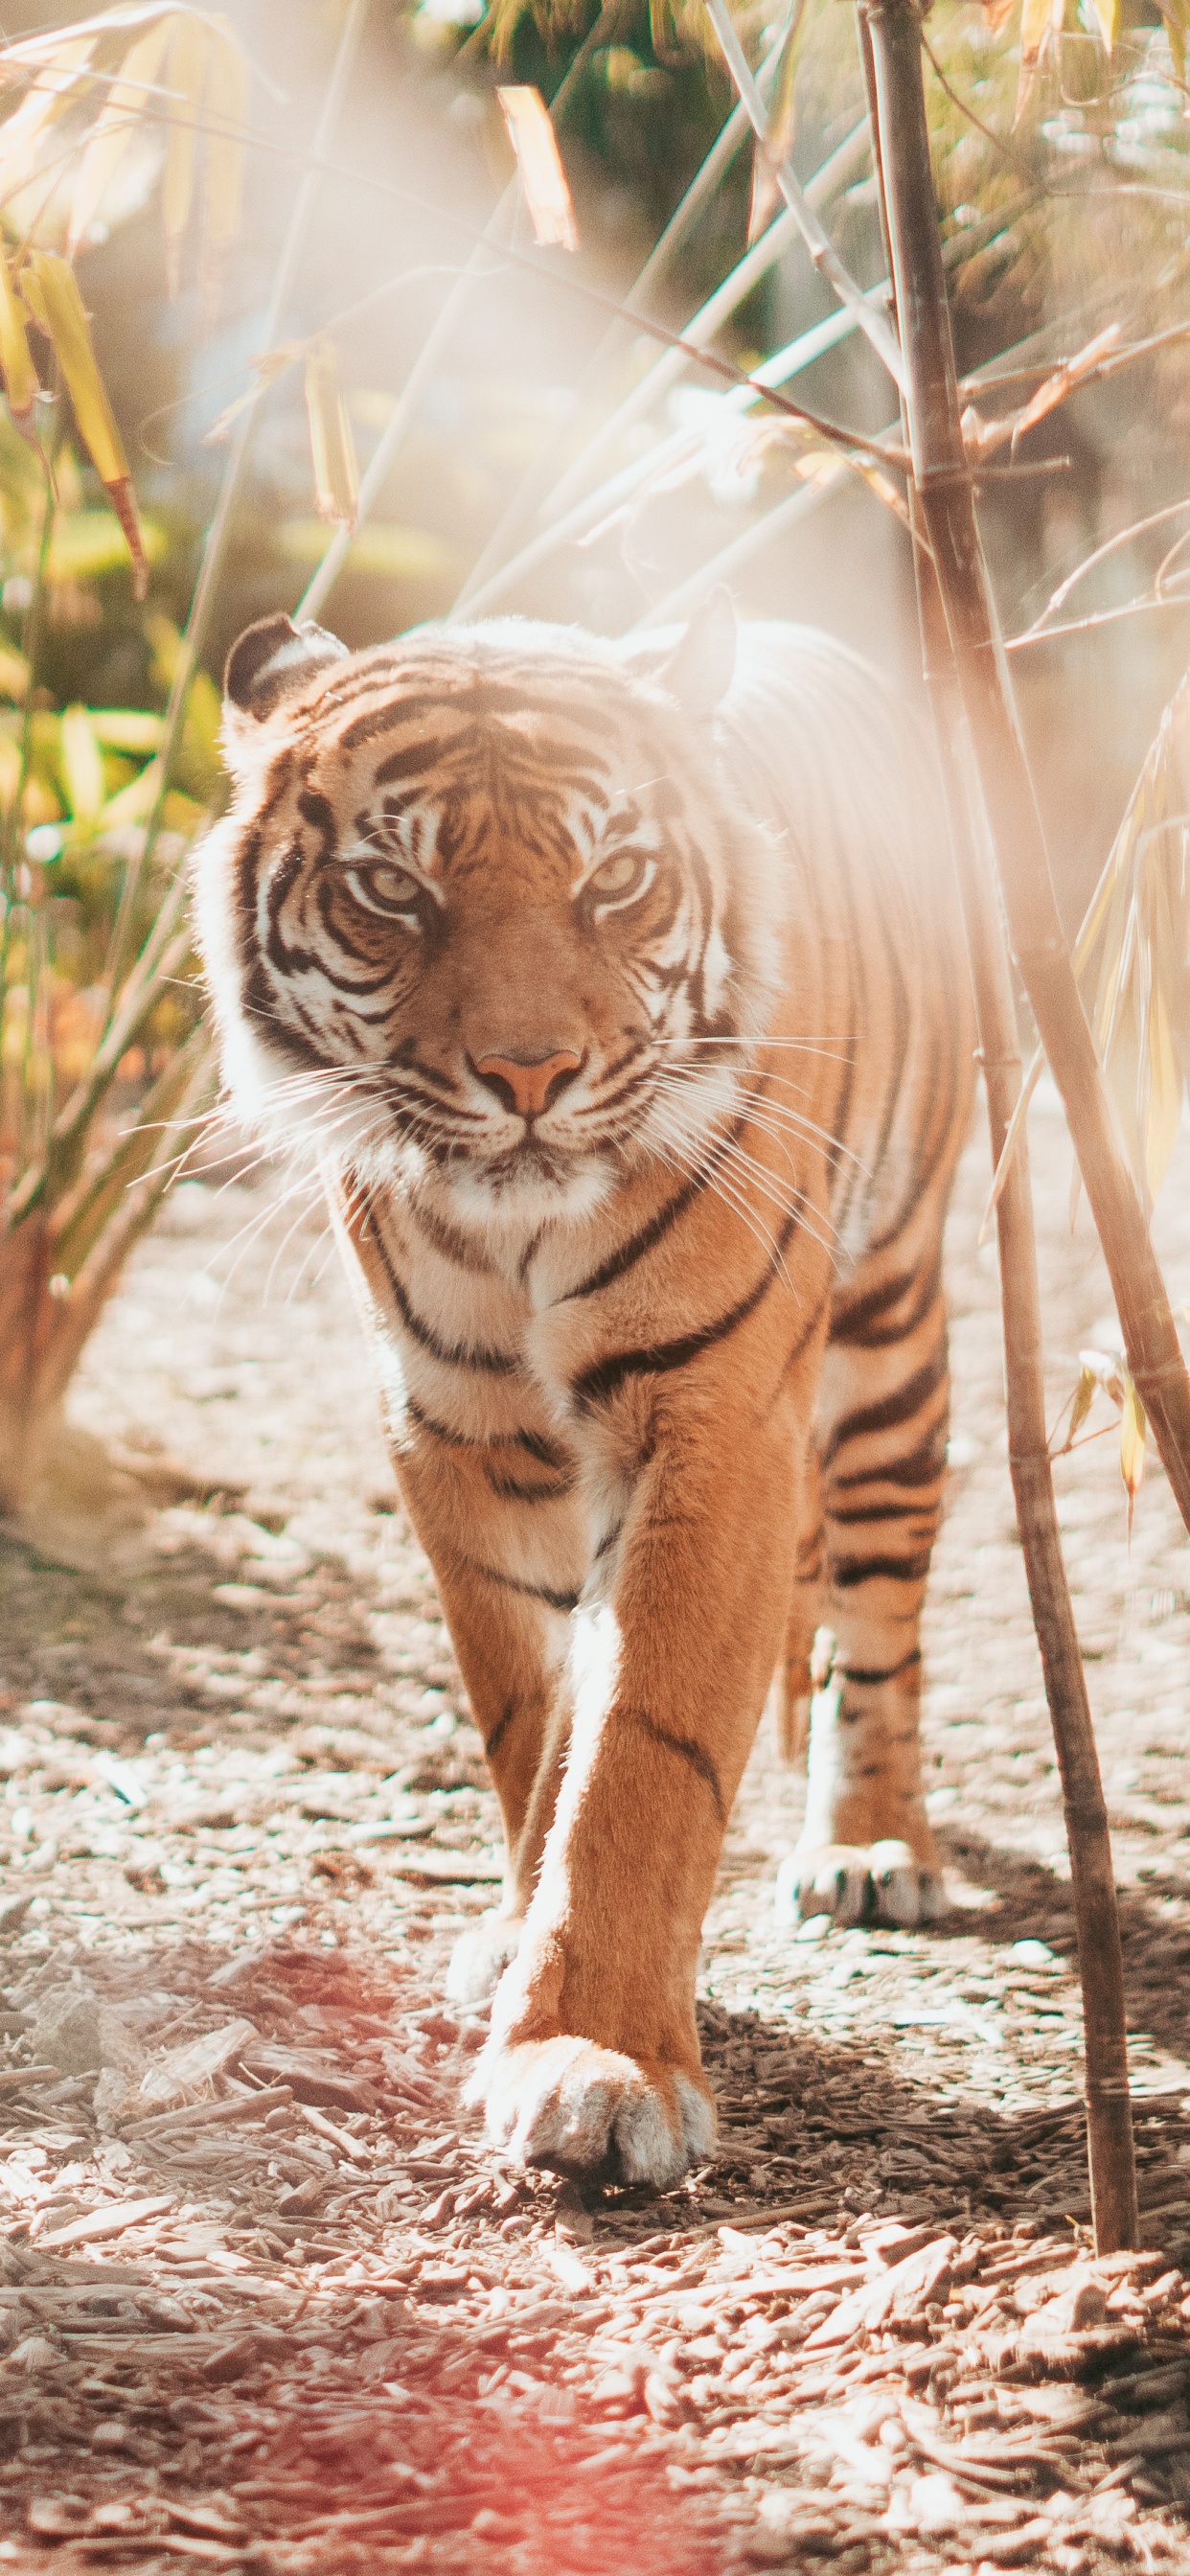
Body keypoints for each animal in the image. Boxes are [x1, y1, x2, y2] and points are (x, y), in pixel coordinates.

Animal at [194, 592, 975, 2190]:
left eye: (612, 880)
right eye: (391, 888)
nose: (529, 1074)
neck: (514, 1236)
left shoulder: (712, 1417)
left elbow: (640, 1752)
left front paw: (596, 2062)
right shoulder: (455, 1433)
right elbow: (532, 1725)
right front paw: (517, 1942)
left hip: (888, 1340)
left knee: (877, 1617)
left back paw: (871, 1846)